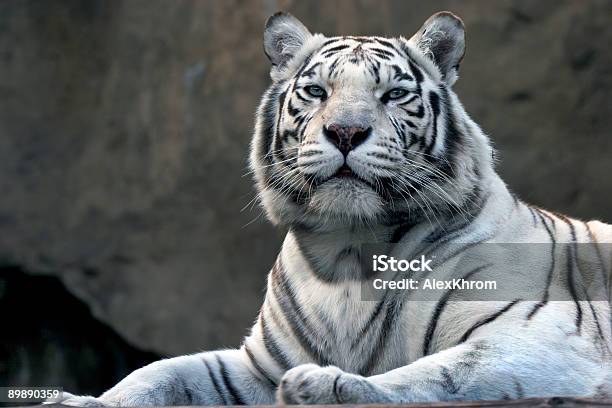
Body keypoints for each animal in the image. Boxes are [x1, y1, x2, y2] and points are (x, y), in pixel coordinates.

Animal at [58, 11, 612, 406]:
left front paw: (326, 386)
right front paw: (80, 401)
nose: (346, 131)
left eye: (394, 94)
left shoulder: (539, 336)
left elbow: (437, 375)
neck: (349, 251)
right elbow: (162, 372)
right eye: (316, 90)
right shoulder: (257, 366)